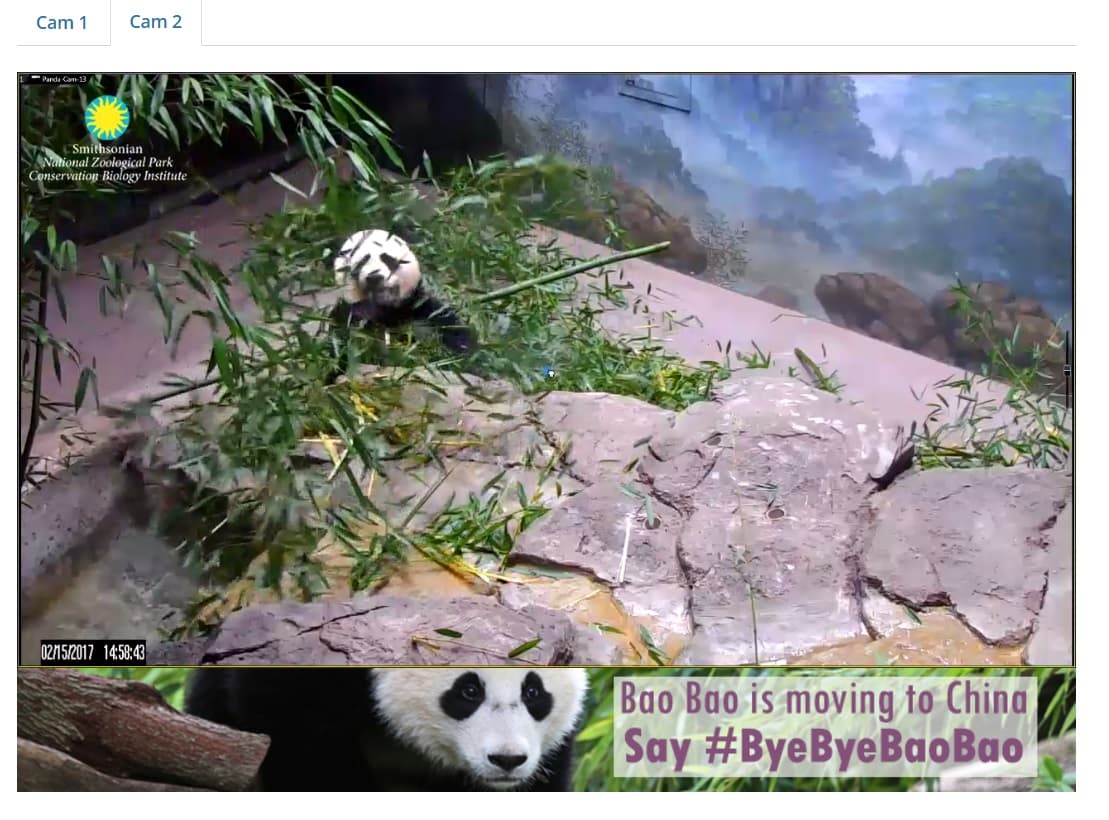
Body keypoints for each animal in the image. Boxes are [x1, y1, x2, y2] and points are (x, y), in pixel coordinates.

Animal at [327, 228, 478, 383]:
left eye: (387, 258)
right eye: (362, 261)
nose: (375, 277)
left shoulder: (421, 308)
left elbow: (456, 342)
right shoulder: (346, 315)